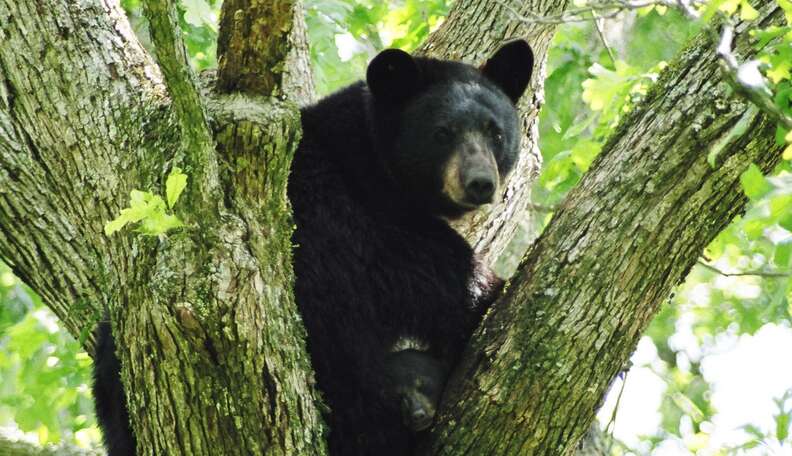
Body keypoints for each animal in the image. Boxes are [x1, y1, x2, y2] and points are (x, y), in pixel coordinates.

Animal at [94, 40, 540, 456]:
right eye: (442, 132)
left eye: (496, 132)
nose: (480, 183)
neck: (371, 165)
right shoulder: (361, 226)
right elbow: (441, 280)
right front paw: (487, 290)